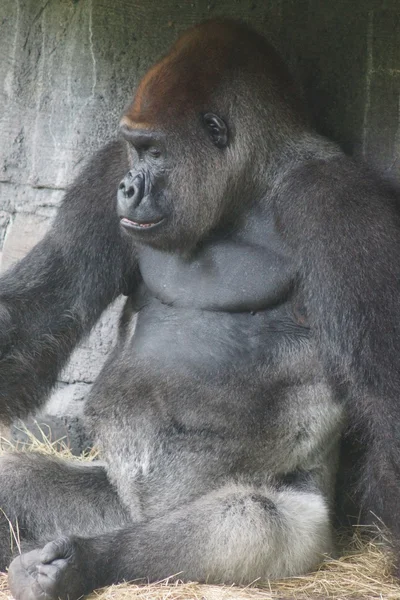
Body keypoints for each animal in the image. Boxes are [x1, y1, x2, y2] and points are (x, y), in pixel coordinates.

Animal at [0, 17, 400, 600]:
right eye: (133, 150)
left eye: (154, 151)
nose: (129, 187)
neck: (249, 185)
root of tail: (136, 515)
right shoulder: (104, 170)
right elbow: (49, 305)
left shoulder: (339, 204)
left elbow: (385, 390)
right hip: (113, 499)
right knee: (23, 481)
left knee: (249, 521)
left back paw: (78, 563)